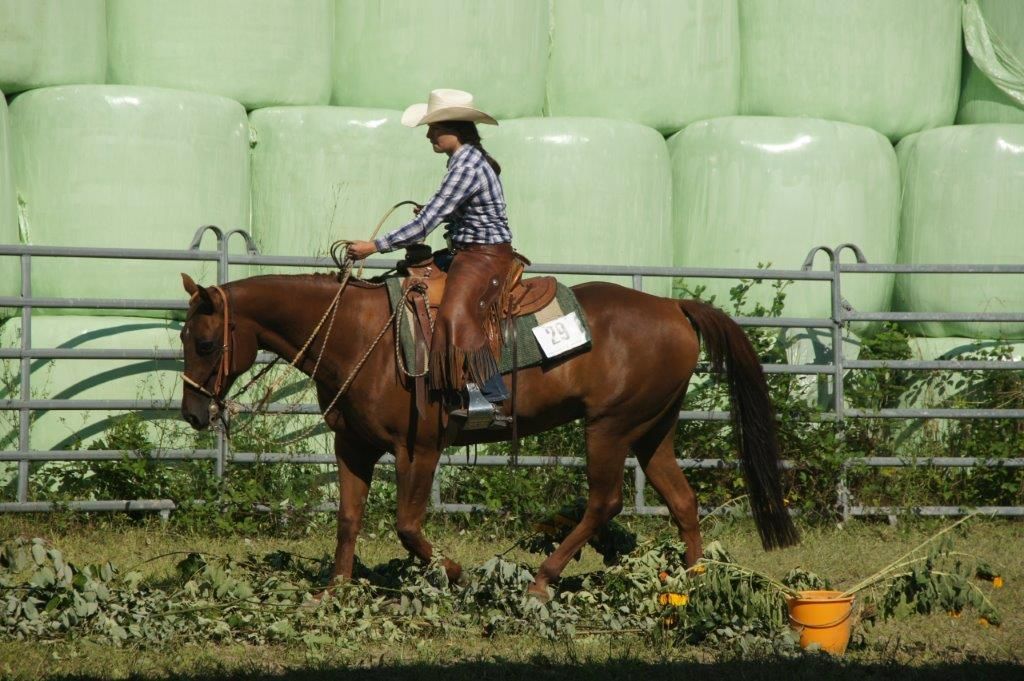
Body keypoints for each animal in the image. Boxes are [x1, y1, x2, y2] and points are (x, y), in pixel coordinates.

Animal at [178, 269, 798, 599]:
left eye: (205, 341)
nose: (191, 413)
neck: (361, 336)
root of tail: (673, 306)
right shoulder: (352, 447)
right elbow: (349, 520)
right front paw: (333, 591)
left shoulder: (419, 450)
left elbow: (406, 526)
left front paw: (454, 572)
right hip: (652, 431)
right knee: (682, 500)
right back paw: (694, 583)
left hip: (610, 428)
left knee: (605, 502)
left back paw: (542, 580)